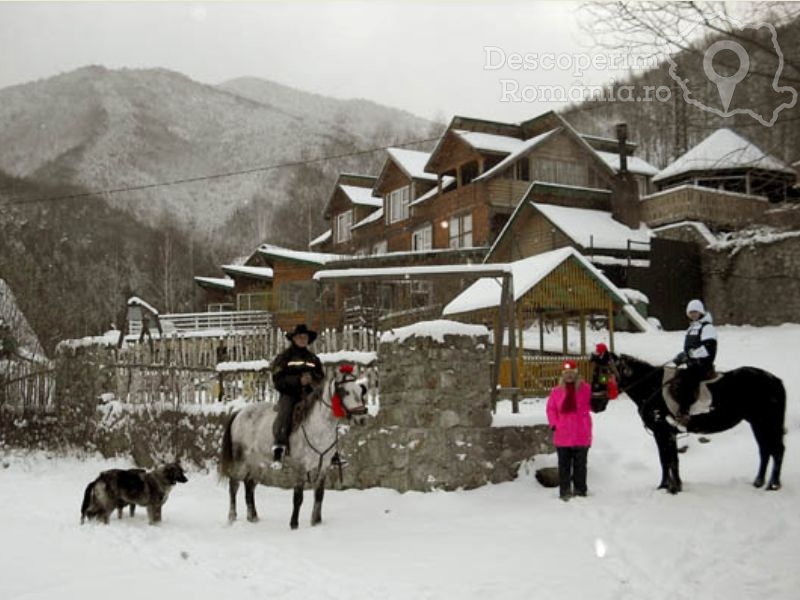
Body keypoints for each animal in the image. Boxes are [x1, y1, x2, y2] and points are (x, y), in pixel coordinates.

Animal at [219, 366, 368, 528]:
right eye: (345, 392)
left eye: (360, 390)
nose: (362, 418)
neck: (318, 427)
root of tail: (240, 412)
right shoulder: (300, 467)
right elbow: (298, 497)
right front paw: (294, 524)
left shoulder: (324, 466)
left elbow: (319, 494)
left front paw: (316, 522)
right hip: (240, 461)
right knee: (234, 485)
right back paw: (232, 517)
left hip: (258, 463)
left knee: (249, 484)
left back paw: (253, 517)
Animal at [592, 352, 784, 492]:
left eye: (601, 374)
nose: (595, 404)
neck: (652, 388)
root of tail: (775, 380)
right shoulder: (663, 434)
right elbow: (666, 459)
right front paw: (665, 486)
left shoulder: (665, 433)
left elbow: (670, 460)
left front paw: (673, 488)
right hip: (758, 423)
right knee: (765, 450)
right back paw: (759, 482)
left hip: (766, 423)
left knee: (777, 450)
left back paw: (773, 485)